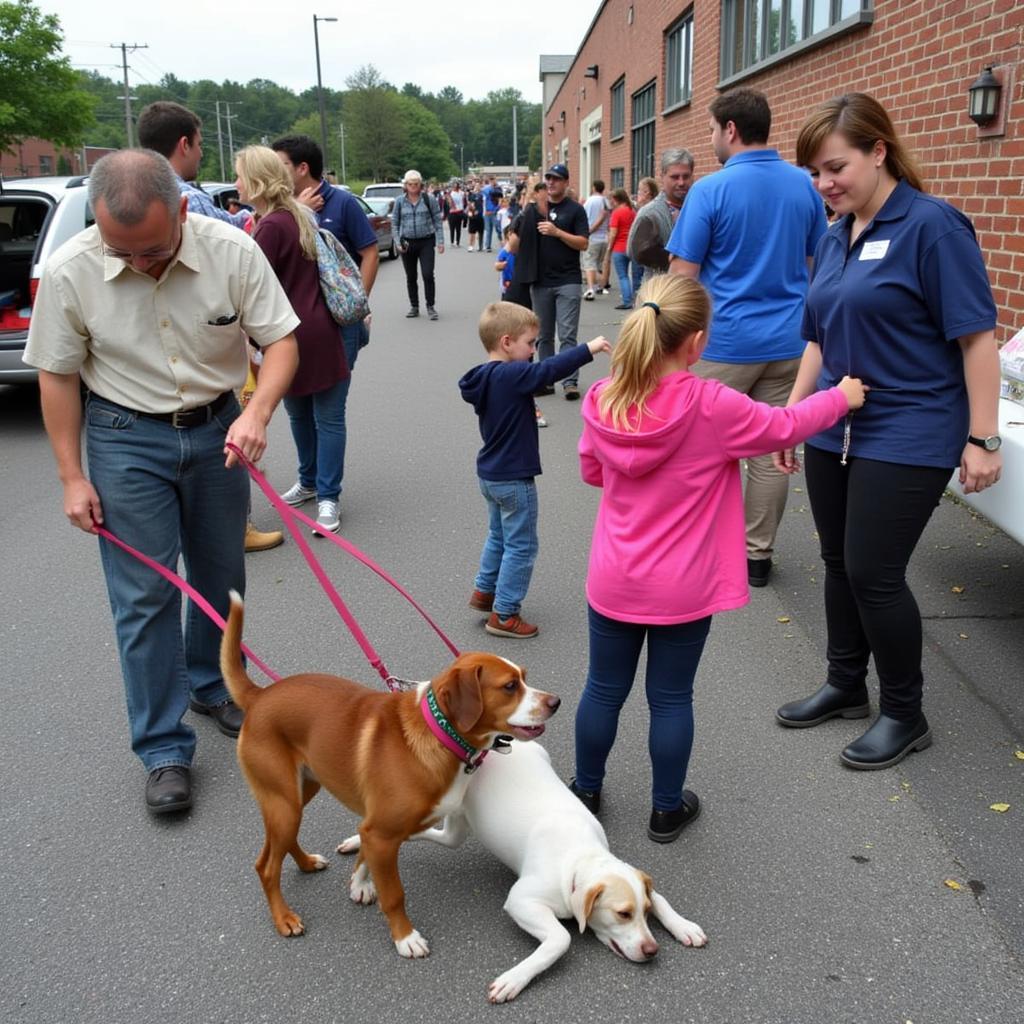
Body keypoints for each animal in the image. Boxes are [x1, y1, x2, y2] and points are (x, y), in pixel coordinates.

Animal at [219, 598, 565, 954]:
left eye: (524, 678)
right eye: (510, 686)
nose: (556, 702)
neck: (439, 733)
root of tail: (260, 695)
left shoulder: (375, 830)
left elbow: (364, 859)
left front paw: (359, 884)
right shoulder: (382, 834)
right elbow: (395, 894)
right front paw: (404, 937)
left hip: (300, 793)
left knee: (277, 847)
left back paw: (305, 863)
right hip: (284, 803)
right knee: (266, 867)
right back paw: (284, 918)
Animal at [339, 741, 708, 1003]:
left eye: (643, 913)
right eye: (622, 914)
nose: (652, 950)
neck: (579, 857)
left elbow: (661, 898)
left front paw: (684, 926)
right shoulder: (521, 901)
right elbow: (560, 939)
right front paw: (515, 979)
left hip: (458, 824)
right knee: (391, 832)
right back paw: (360, 851)